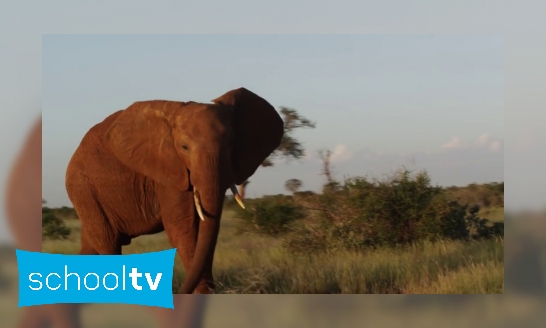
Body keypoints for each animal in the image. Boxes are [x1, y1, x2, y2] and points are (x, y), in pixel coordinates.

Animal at [65, 88, 280, 294]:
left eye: (231, 144)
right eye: (184, 147)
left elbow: (205, 230)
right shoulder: (170, 173)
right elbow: (184, 228)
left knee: (90, 247)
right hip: (84, 190)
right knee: (108, 245)